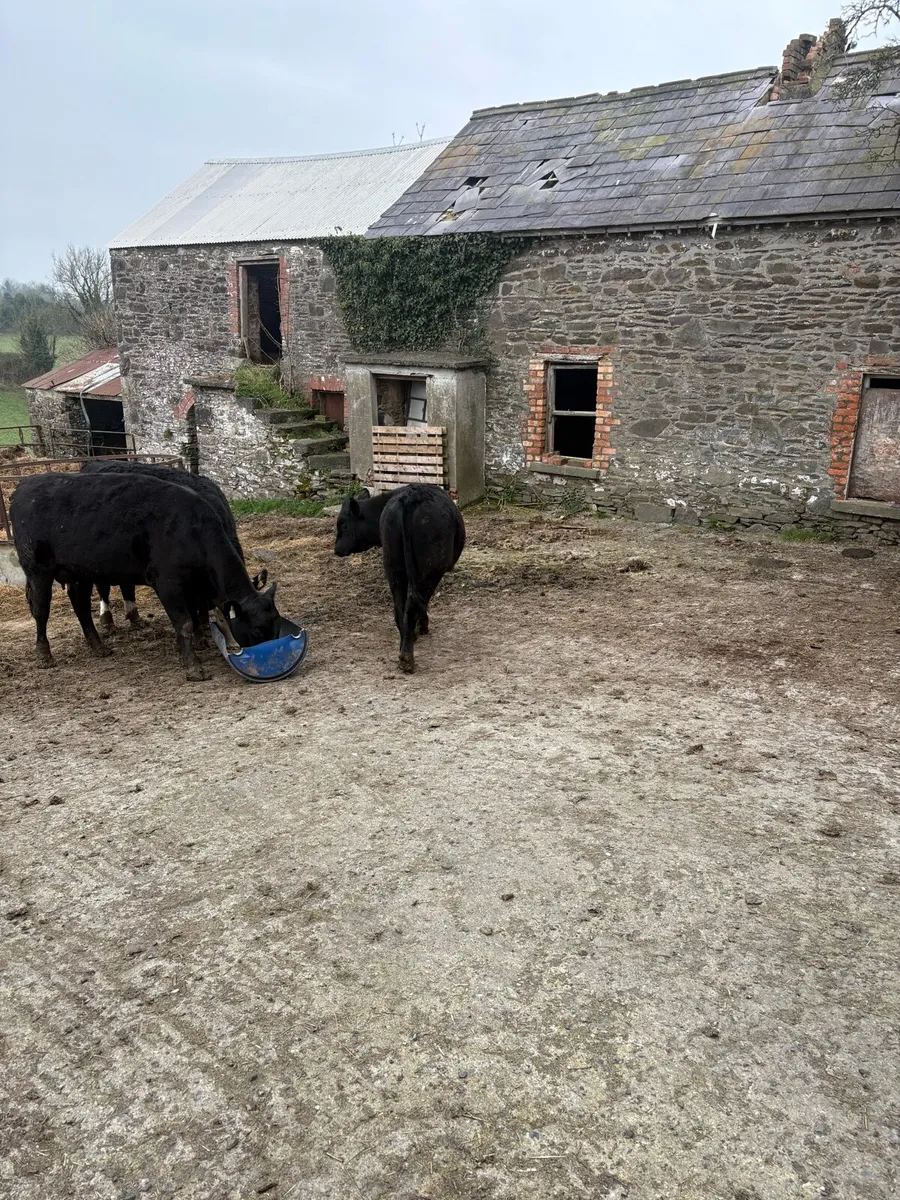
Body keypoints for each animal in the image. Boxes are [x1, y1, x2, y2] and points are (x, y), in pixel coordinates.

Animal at [334, 484, 465, 673]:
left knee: (400, 606)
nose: (336, 549)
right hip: (429, 570)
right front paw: (422, 627)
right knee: (413, 604)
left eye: (344, 526)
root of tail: (409, 498)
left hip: (393, 567)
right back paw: (407, 657)